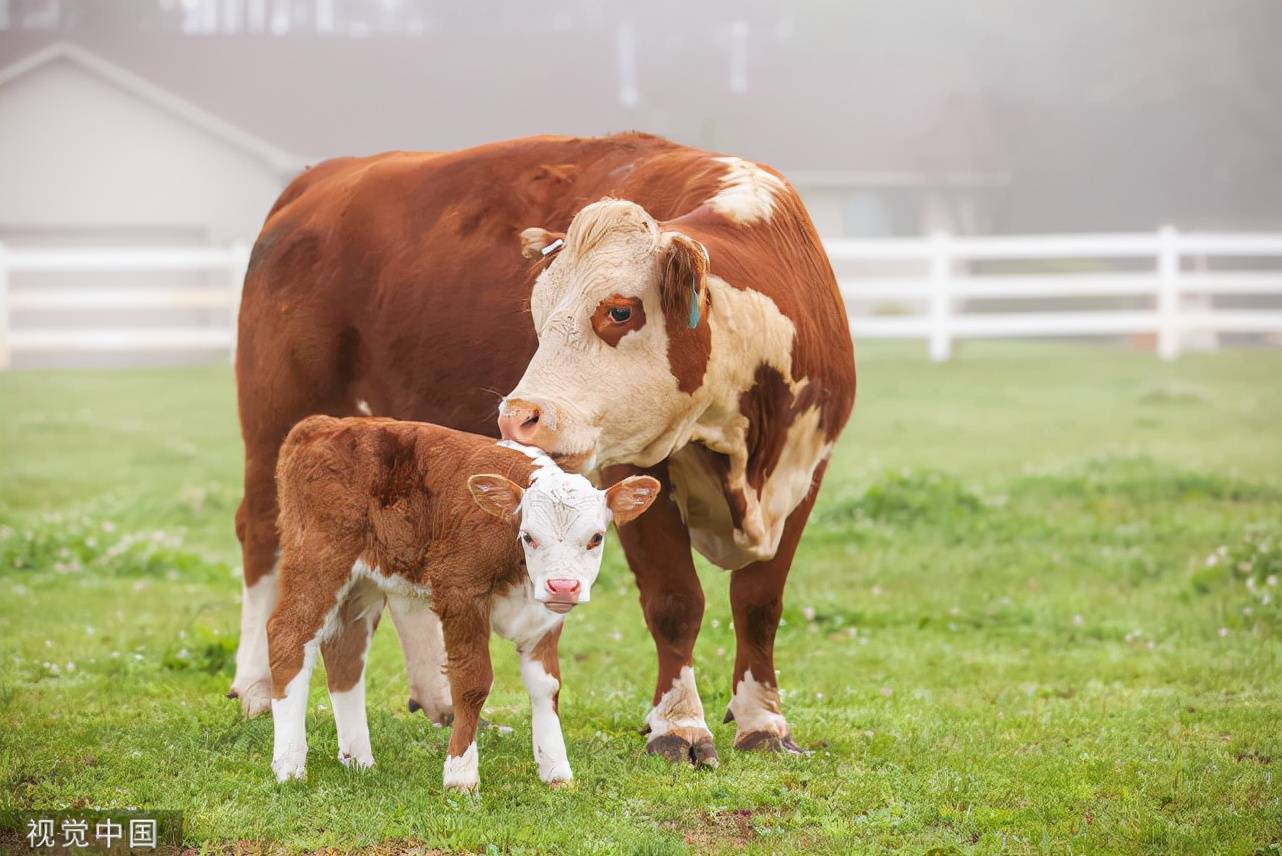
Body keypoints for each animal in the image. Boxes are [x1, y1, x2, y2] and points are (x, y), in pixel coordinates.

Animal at [265, 415, 656, 789]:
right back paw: (289, 765)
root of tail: (323, 424)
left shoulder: (545, 614)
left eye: (596, 538)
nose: (563, 586)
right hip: (319, 558)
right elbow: (472, 682)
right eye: (529, 536)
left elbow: (547, 685)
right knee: (287, 636)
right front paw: (461, 776)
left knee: (345, 652)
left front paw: (556, 770)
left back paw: (359, 759)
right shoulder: (460, 594)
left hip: (364, 581)